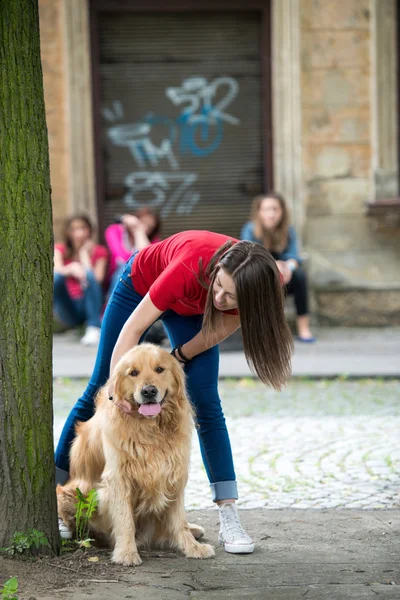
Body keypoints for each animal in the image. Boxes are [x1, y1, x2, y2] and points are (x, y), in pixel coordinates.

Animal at [56, 344, 214, 564]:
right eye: (133, 373)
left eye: (159, 369)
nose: (149, 391)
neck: (150, 428)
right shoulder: (118, 478)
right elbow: (124, 519)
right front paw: (126, 552)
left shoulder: (173, 472)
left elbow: (179, 519)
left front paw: (191, 547)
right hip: (71, 494)